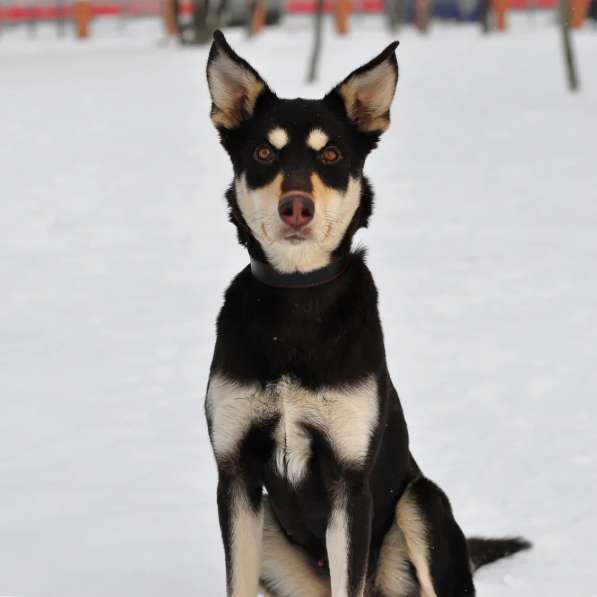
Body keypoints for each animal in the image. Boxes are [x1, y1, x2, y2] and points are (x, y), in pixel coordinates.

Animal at [204, 30, 528, 592]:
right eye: (264, 151)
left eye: (331, 153)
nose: (296, 207)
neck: (296, 298)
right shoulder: (235, 474)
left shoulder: (349, 481)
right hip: (268, 527)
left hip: (422, 502)